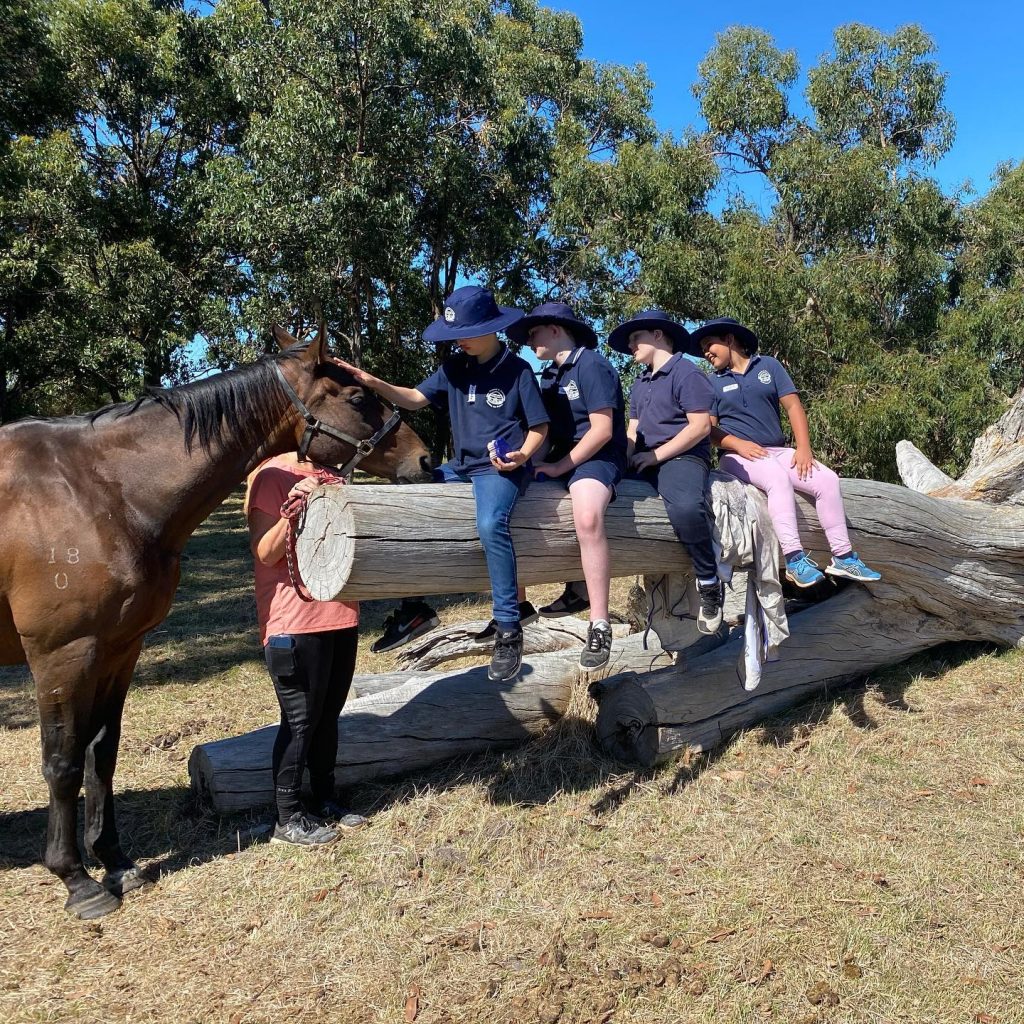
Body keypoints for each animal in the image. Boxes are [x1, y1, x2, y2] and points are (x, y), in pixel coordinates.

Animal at [0, 325, 432, 921]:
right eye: (356, 398)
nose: (427, 459)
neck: (100, 493)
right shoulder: (61, 655)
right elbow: (62, 764)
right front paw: (77, 881)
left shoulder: (119, 648)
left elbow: (100, 756)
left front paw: (116, 863)